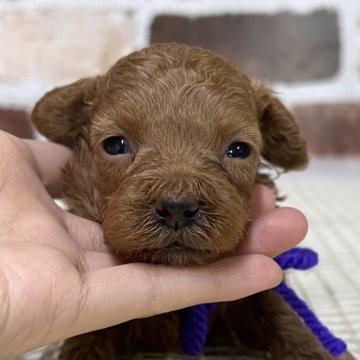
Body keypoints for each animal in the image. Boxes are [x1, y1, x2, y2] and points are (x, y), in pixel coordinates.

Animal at [31, 44, 344, 360]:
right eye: (115, 145)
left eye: (239, 150)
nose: (177, 208)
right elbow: (87, 341)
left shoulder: (258, 295)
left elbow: (284, 319)